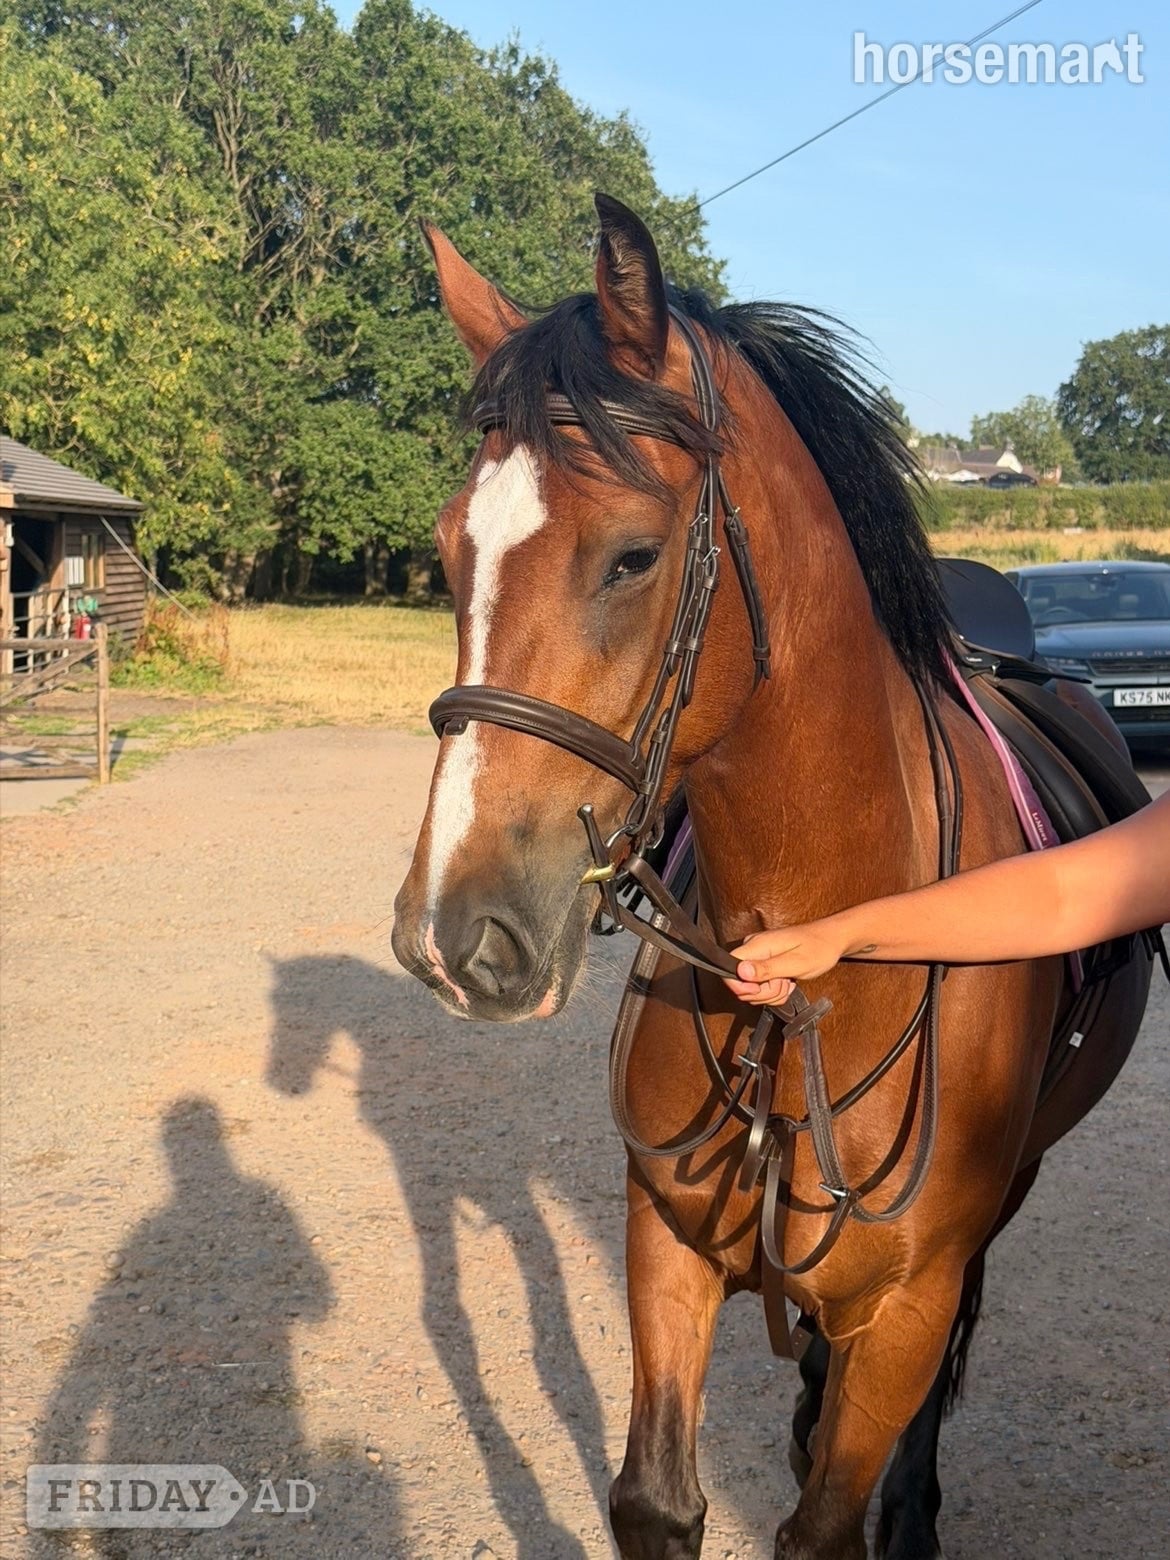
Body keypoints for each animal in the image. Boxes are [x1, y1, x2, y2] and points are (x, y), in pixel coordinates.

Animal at [391, 194, 1152, 1559]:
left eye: (634, 557)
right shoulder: (664, 1246)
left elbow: (833, 1508)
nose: (452, 934)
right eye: (445, 554)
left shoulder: (906, 1303)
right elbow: (656, 1499)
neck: (824, 949)